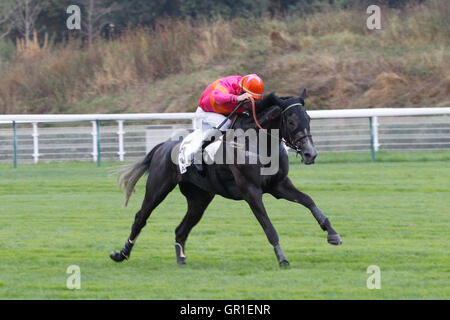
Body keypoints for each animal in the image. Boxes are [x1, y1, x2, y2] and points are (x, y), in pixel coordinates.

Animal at [110, 90, 342, 268]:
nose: (311, 153)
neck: (259, 142)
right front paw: (282, 258)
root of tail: (162, 146)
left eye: (309, 118)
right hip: (158, 188)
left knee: (181, 229)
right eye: (292, 120)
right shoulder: (251, 191)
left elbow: (308, 201)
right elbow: (268, 227)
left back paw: (181, 258)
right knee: (141, 217)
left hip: (200, 198)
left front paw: (332, 234)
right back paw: (121, 254)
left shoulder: (278, 185)